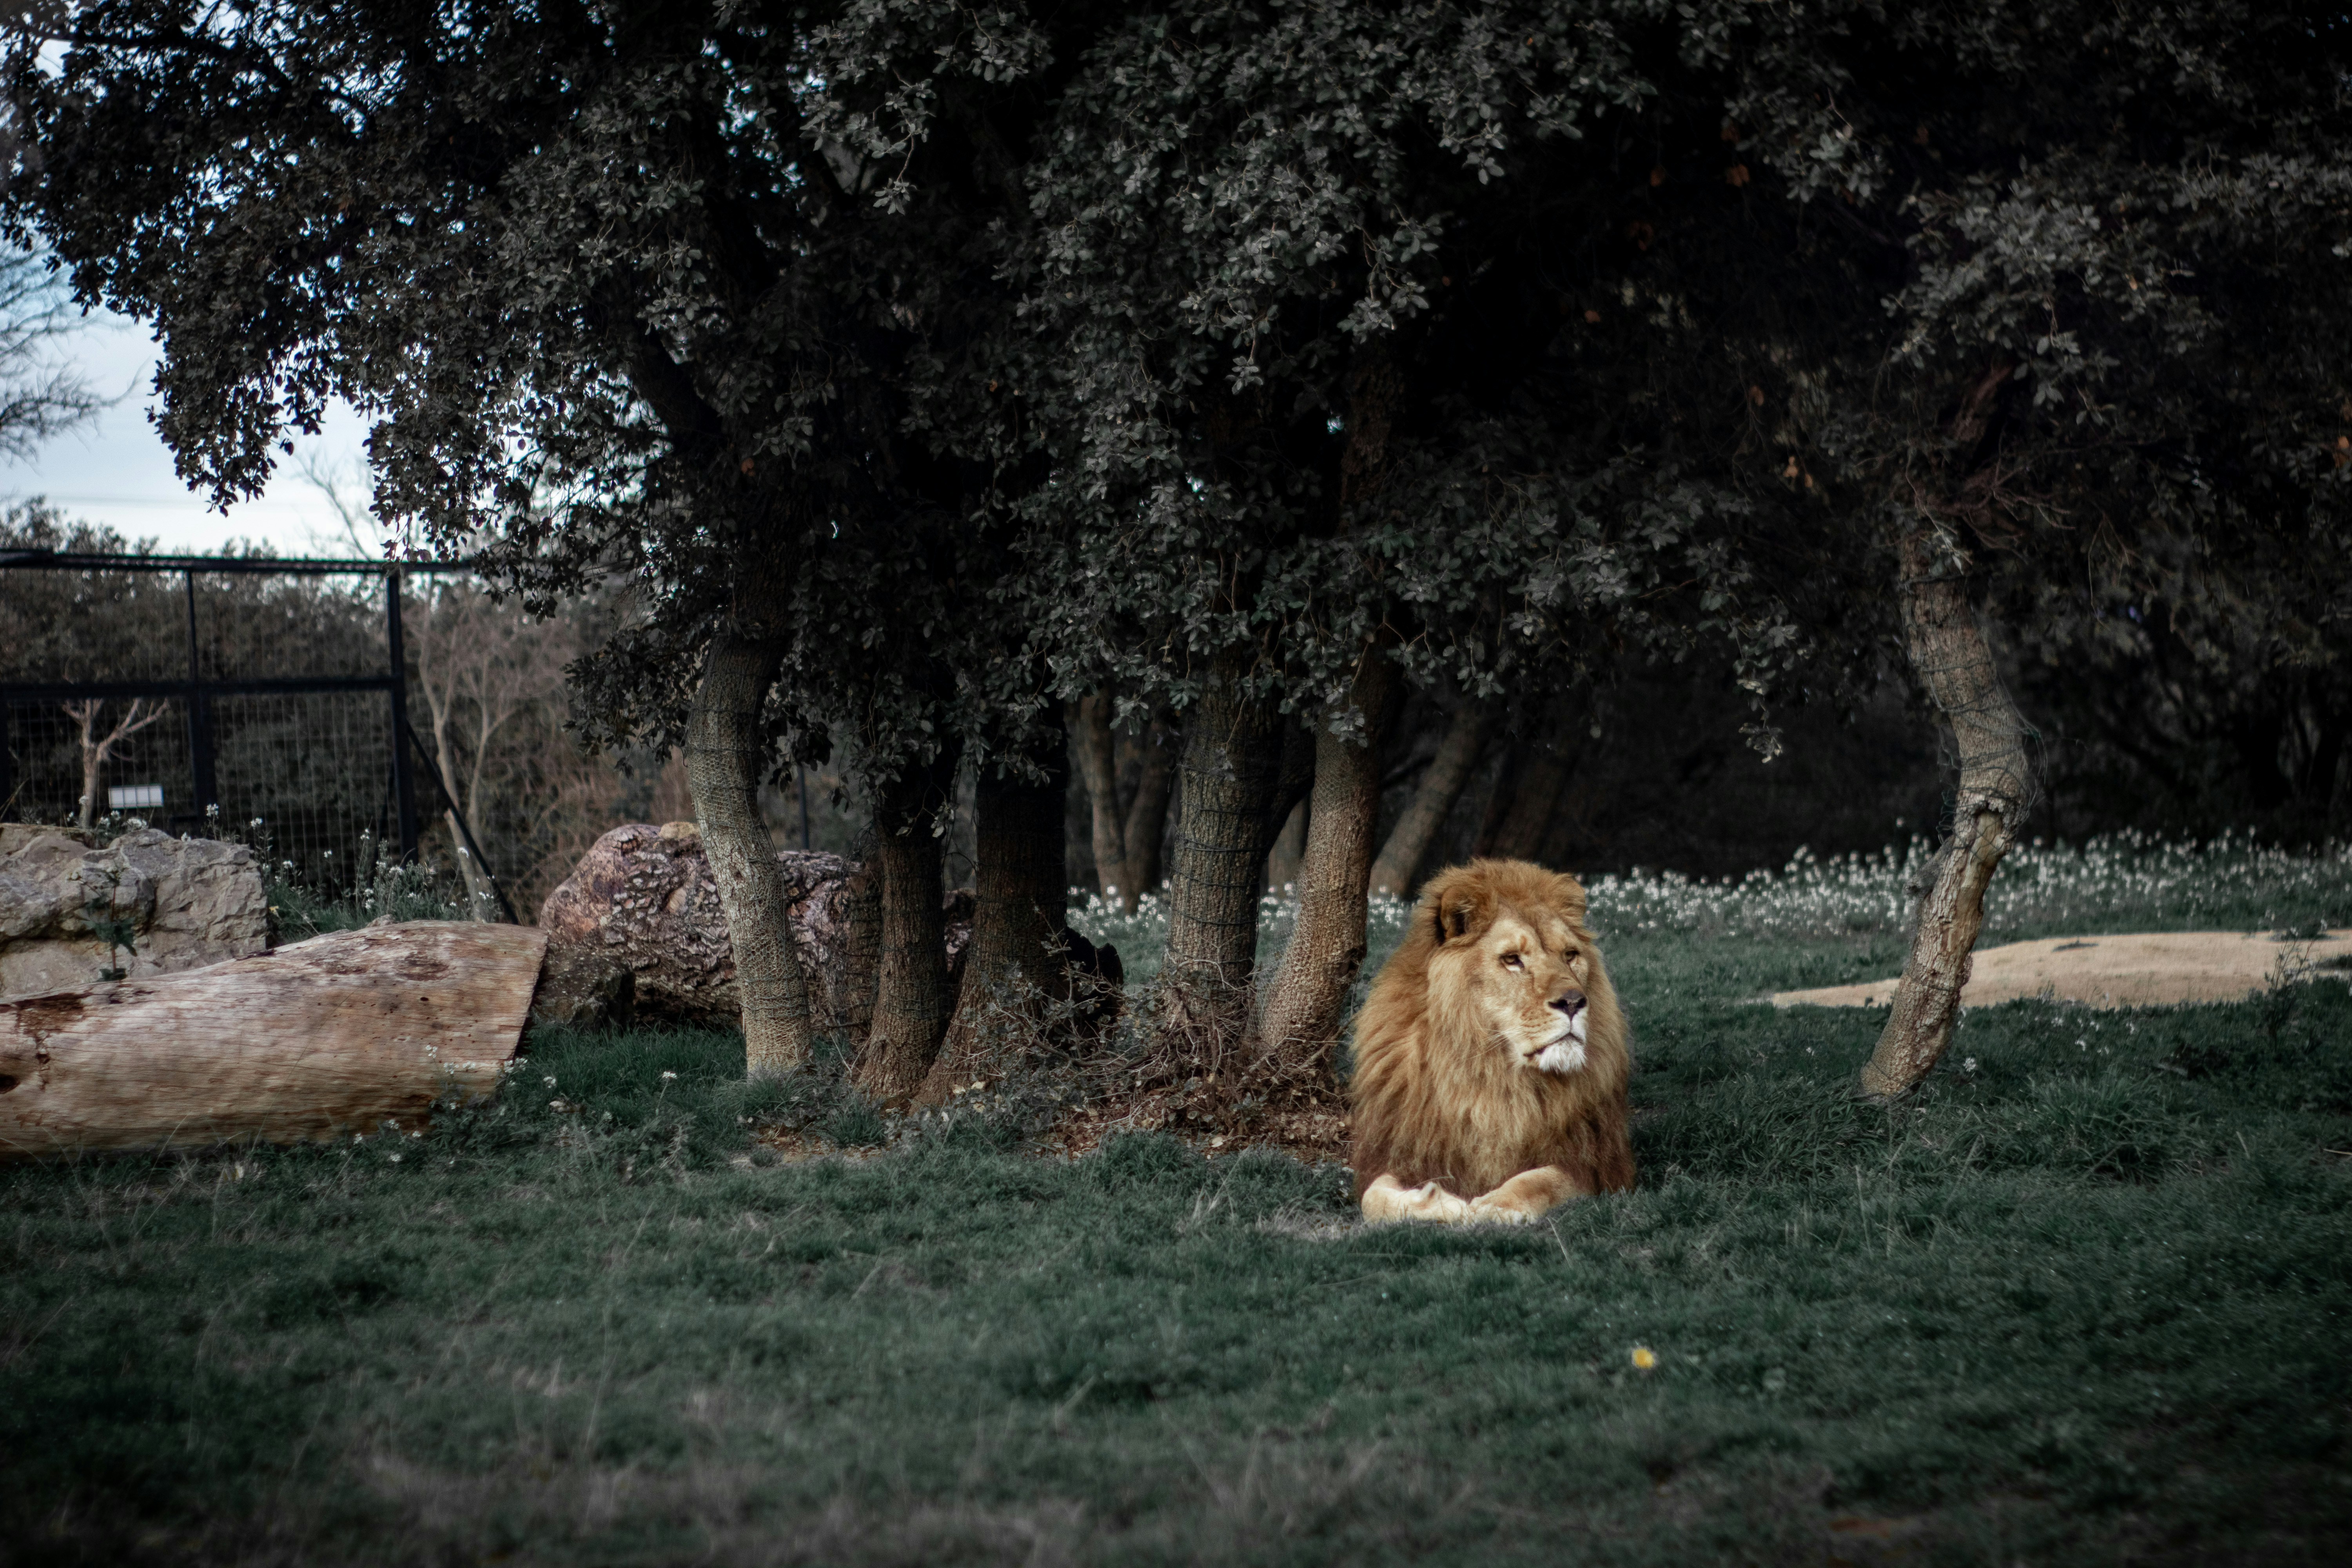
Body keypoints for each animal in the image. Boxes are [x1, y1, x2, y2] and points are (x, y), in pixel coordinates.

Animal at [1348, 858, 1634, 1224]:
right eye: (1512, 960)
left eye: (1571, 955)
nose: (1573, 1002)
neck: (1492, 1074)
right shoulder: (1401, 1152)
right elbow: (1373, 1197)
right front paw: (1435, 1203)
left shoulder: (1599, 1167)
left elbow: (1543, 1179)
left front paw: (1497, 1205)